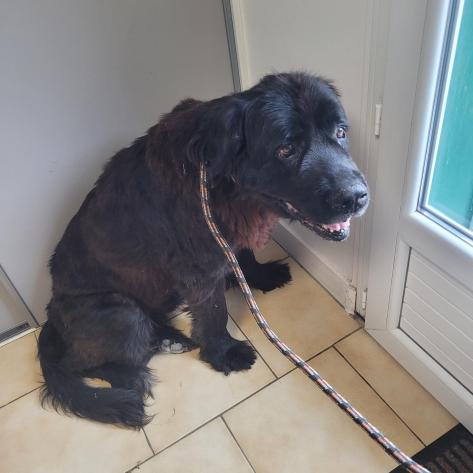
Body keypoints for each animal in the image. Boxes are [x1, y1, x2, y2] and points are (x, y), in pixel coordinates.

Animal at [38, 72, 369, 428]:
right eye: (286, 149)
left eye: (340, 132)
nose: (355, 197)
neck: (222, 178)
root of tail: (50, 317)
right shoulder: (200, 267)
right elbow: (213, 311)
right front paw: (224, 352)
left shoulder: (230, 232)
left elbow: (244, 257)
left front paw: (260, 276)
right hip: (122, 313)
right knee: (83, 363)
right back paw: (127, 384)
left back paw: (168, 339)